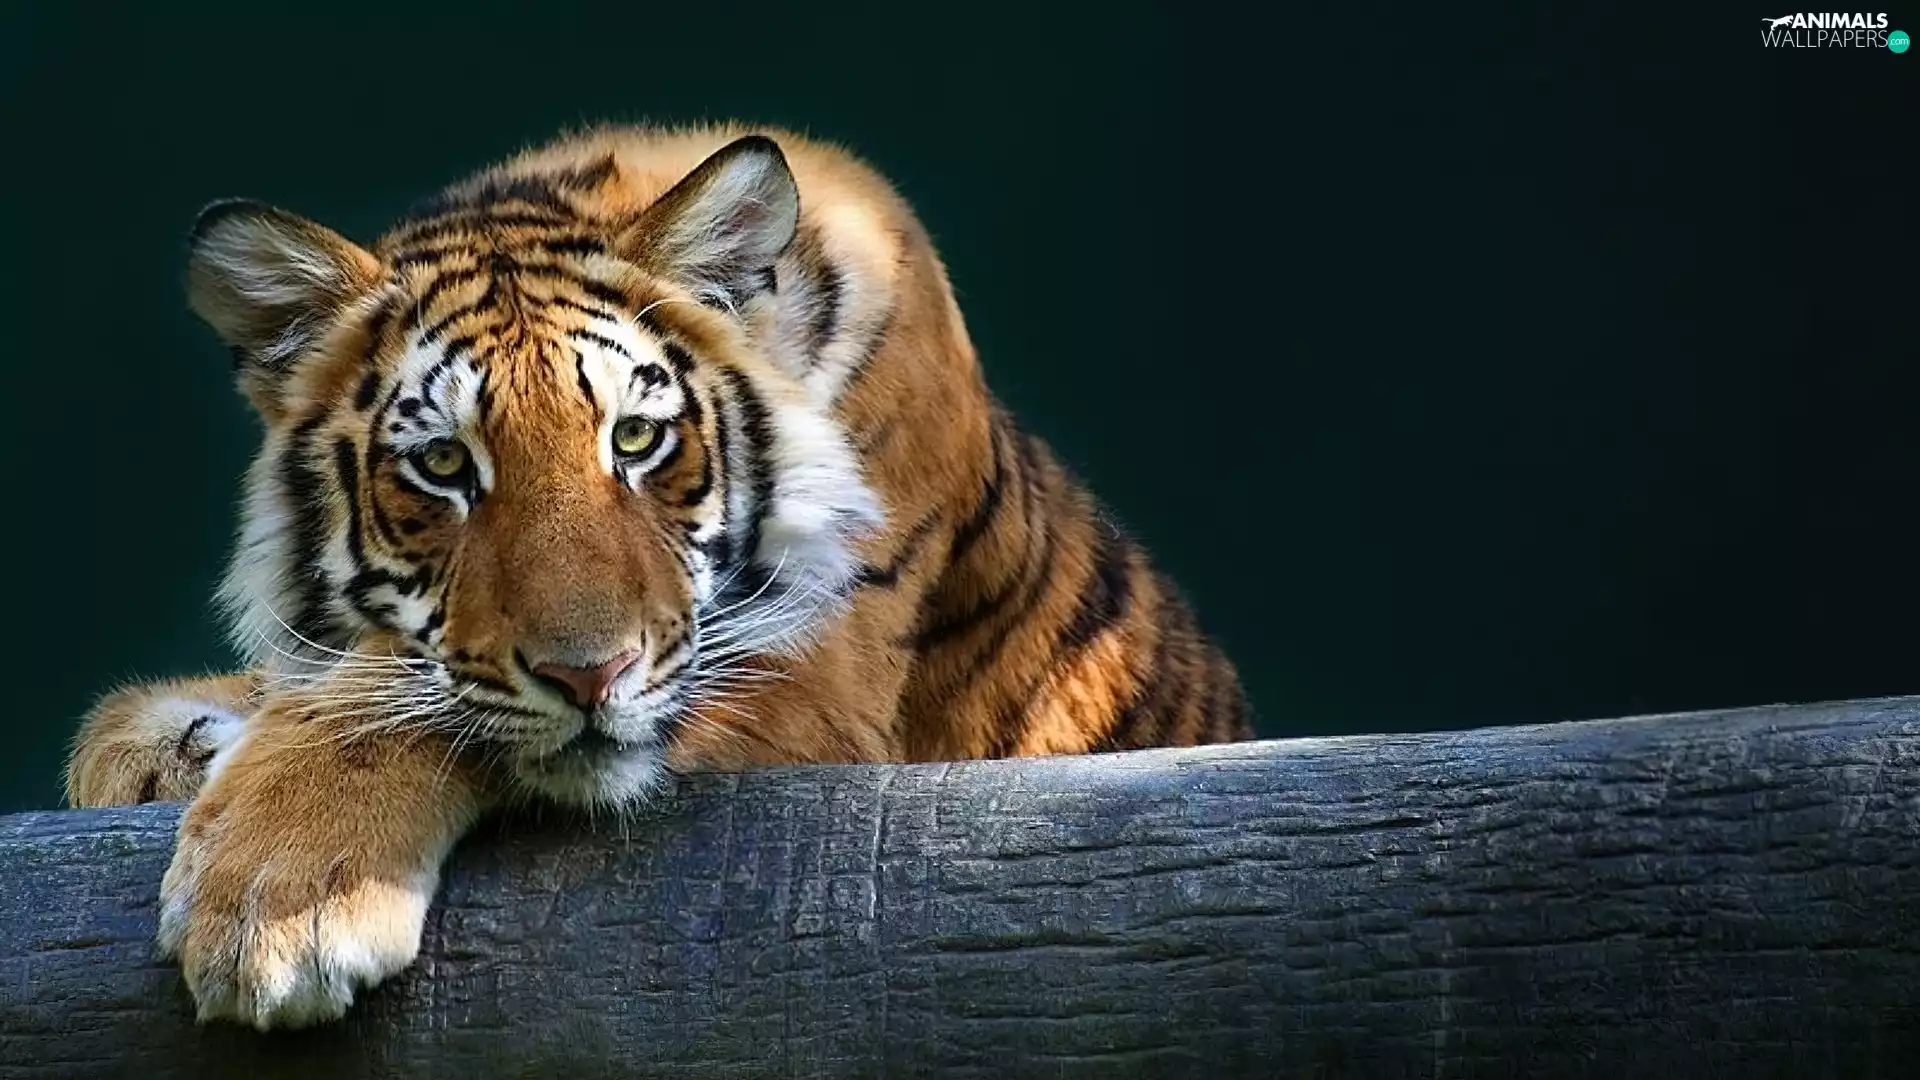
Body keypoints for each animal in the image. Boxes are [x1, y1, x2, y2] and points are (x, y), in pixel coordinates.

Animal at [63, 124, 1254, 1030]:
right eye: (444, 466)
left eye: (636, 440)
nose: (589, 677)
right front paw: (164, 745)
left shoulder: (816, 675)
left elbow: (405, 704)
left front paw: (273, 904)